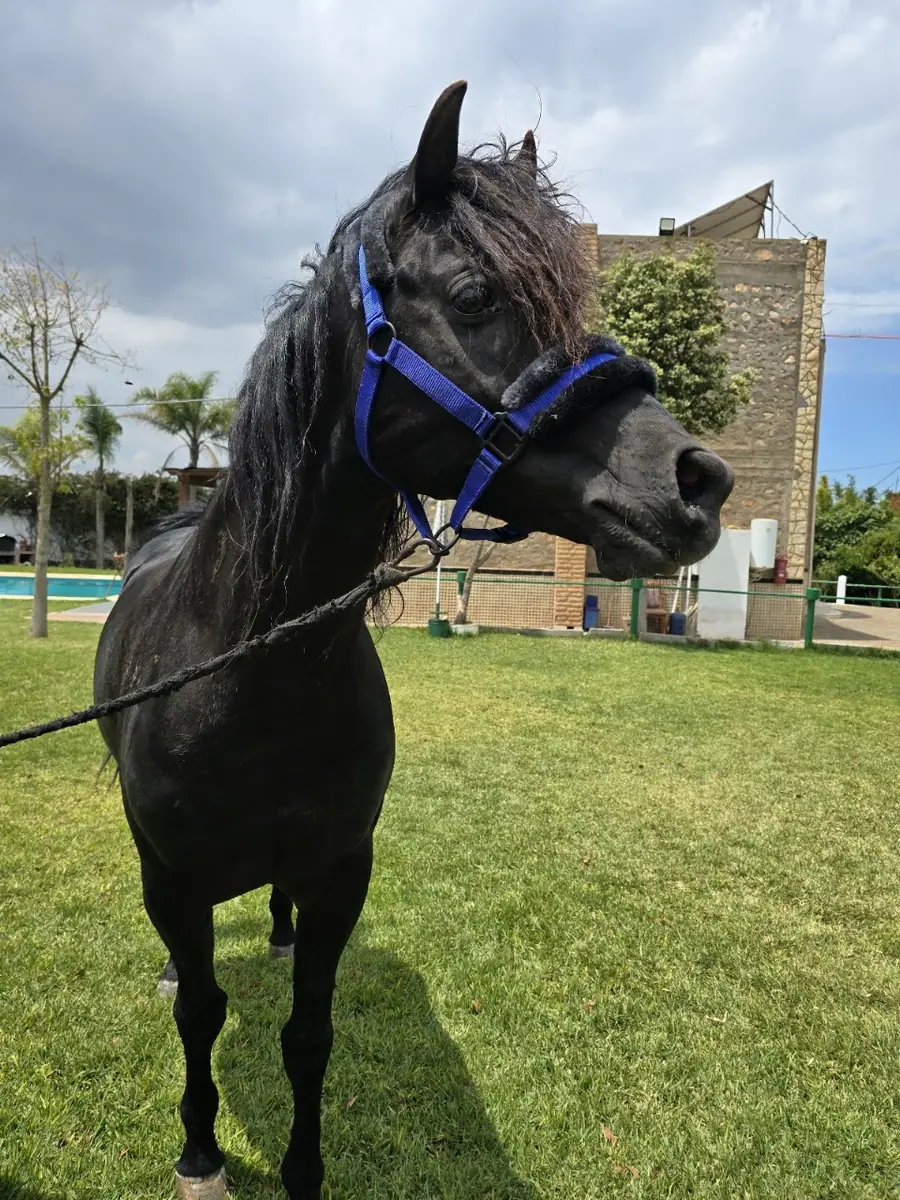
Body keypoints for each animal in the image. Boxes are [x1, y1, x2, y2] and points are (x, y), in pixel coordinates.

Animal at [93, 80, 734, 1199]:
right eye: (475, 295)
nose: (700, 480)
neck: (252, 676)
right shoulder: (173, 877)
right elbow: (202, 1015)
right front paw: (202, 1151)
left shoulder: (342, 871)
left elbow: (309, 1035)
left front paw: (305, 1171)